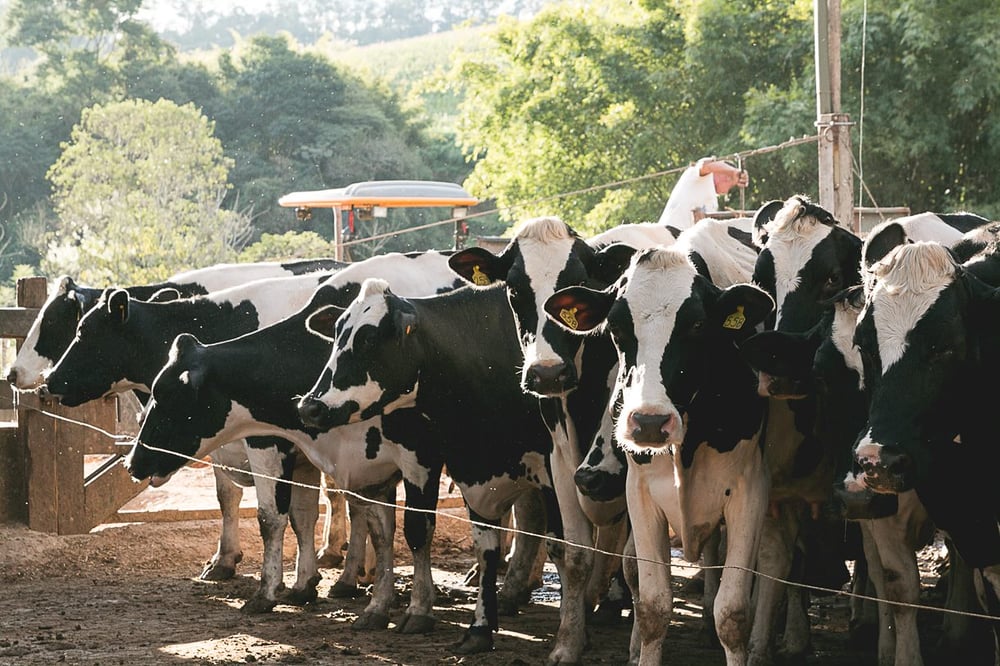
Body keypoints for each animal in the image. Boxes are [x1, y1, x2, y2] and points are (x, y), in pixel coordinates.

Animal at [296, 278, 592, 660]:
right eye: (336, 334)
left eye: (369, 339)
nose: (310, 407)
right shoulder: (467, 471)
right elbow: (472, 545)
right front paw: (478, 629)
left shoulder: (554, 478)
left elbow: (566, 550)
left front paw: (573, 634)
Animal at [544, 248, 776, 664]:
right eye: (617, 328)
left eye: (697, 325)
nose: (650, 422)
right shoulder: (641, 494)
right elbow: (653, 605)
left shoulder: (750, 491)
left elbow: (732, 613)